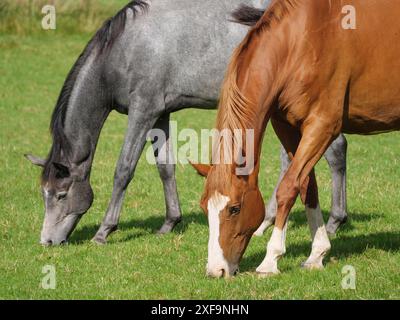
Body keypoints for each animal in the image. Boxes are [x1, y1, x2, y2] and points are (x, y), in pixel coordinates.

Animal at [24, 0, 346, 245]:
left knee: (332, 150)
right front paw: (170, 222)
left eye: (61, 194)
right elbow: (165, 167)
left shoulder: (142, 112)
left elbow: (123, 170)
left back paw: (332, 221)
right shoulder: (160, 114)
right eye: (44, 194)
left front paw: (104, 230)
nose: (47, 241)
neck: (125, 49)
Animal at [192, 0, 400, 278]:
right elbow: (307, 186)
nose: (217, 271)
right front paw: (317, 254)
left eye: (235, 208)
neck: (300, 42)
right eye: (205, 207)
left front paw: (271, 259)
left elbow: (288, 187)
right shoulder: (288, 127)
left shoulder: (322, 126)